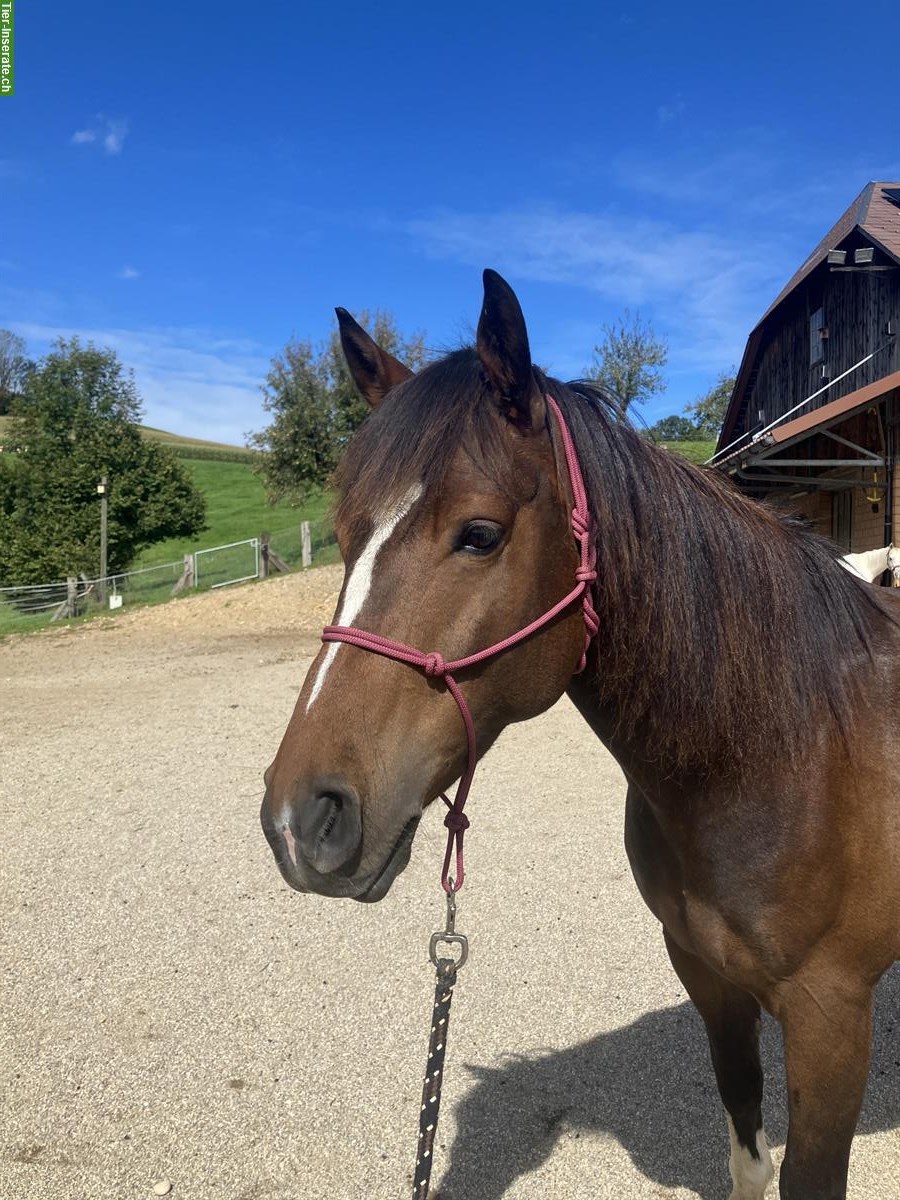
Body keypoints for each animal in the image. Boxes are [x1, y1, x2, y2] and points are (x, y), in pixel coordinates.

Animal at [260, 270, 900, 1199]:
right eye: (344, 540)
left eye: (480, 534)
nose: (300, 821)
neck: (788, 756)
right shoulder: (709, 979)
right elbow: (744, 1139)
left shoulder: (832, 1020)